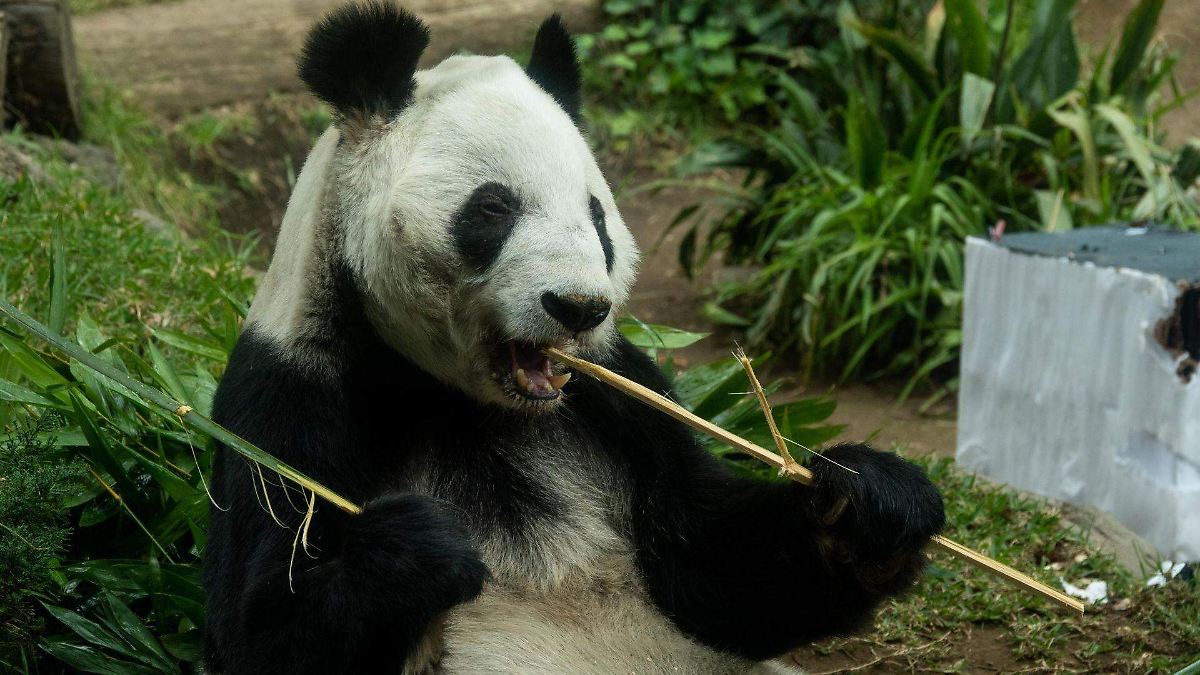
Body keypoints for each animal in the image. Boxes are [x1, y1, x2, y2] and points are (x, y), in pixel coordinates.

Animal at [202, 3, 946, 674]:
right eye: (492, 209)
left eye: (596, 216)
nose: (579, 306)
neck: (464, 402)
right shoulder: (291, 395)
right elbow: (256, 632)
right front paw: (420, 547)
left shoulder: (622, 397)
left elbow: (713, 570)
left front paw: (868, 502)